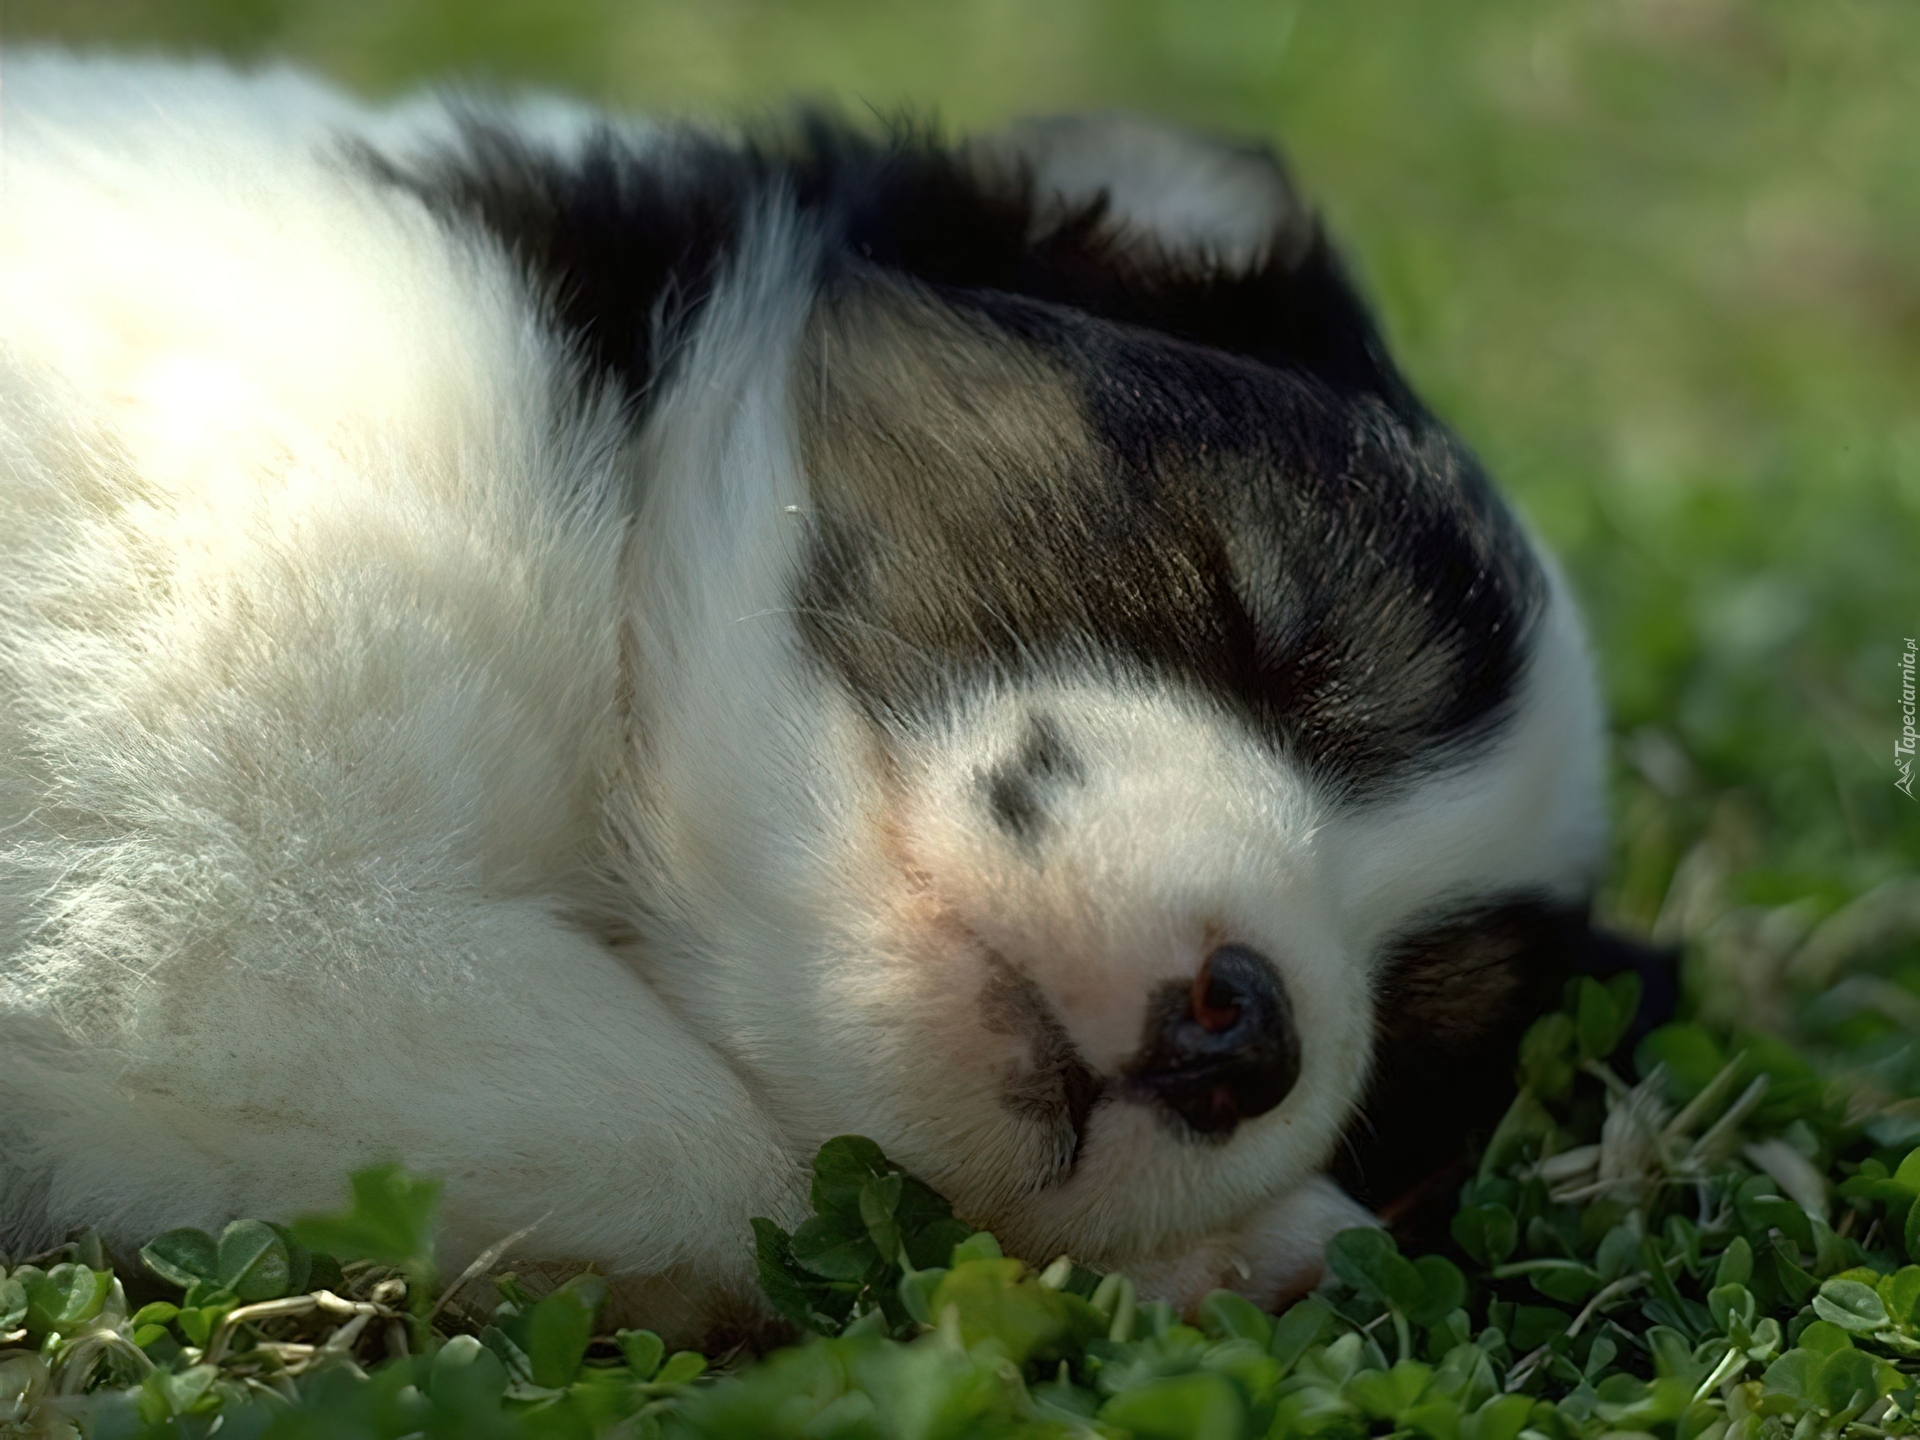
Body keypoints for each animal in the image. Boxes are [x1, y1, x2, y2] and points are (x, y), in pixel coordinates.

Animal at [0, 53, 1605, 1344]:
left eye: (1421, 1037)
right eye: (1262, 614)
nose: (1245, 1036)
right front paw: (1226, 1253)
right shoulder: (233, 900)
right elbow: (716, 1149)